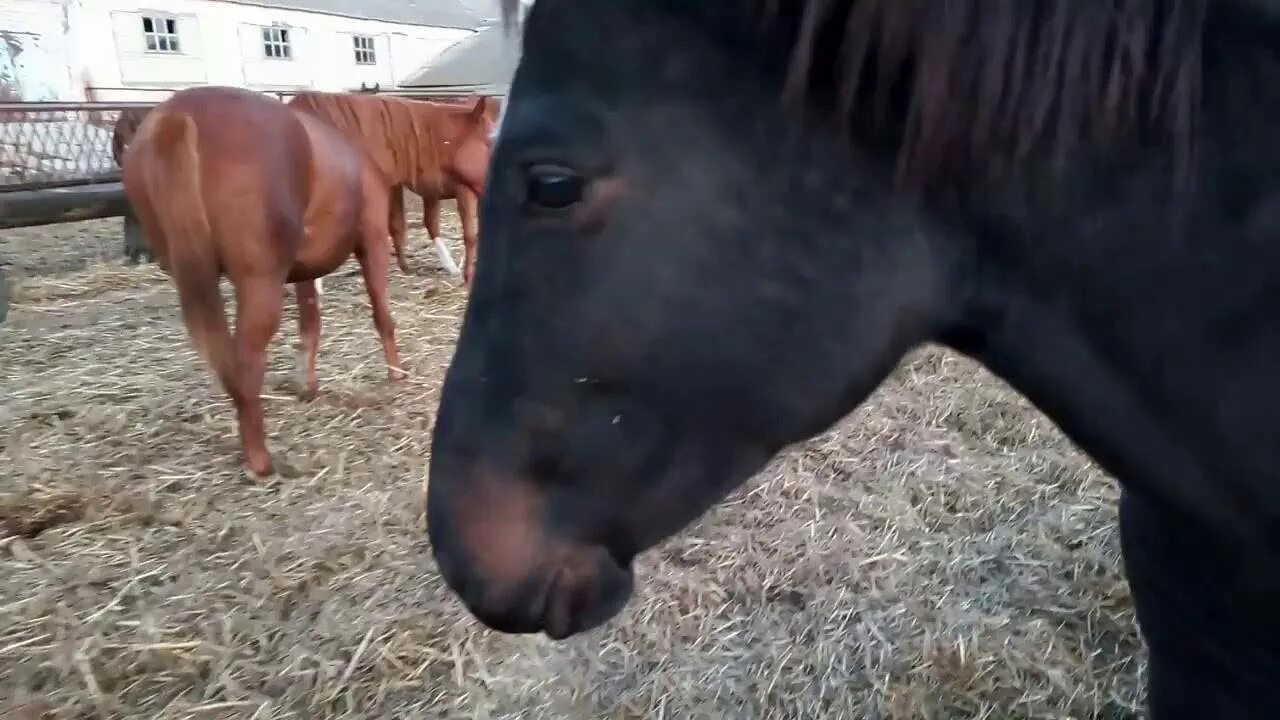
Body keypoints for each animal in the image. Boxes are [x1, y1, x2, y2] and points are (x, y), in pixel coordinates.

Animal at [120, 85, 401, 476]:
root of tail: (178, 116)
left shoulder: (304, 272)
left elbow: (310, 326)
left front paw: (308, 387)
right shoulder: (372, 242)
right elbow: (381, 314)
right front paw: (396, 374)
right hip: (259, 284)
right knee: (247, 364)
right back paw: (261, 462)